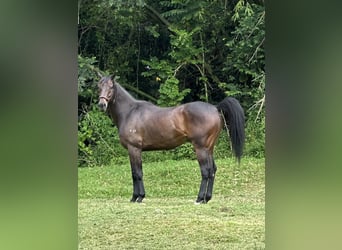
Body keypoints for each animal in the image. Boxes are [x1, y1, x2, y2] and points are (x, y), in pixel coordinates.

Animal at [97, 75, 244, 203]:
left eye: (111, 86)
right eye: (99, 86)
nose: (101, 104)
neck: (130, 112)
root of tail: (215, 108)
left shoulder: (134, 149)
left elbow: (136, 173)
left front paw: (137, 197)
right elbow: (136, 172)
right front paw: (137, 197)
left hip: (201, 148)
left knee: (206, 171)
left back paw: (199, 199)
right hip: (209, 148)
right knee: (213, 170)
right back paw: (207, 198)